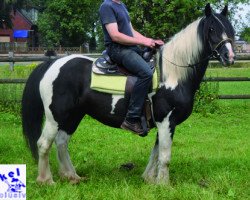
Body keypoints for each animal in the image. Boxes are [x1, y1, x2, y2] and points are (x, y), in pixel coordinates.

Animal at [22, 3, 235, 184]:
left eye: (231, 28)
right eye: (212, 29)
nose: (230, 57)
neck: (172, 75)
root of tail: (52, 63)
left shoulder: (164, 123)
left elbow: (156, 153)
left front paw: (150, 179)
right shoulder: (166, 120)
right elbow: (165, 156)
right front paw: (164, 185)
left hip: (74, 115)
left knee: (61, 141)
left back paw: (71, 176)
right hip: (55, 116)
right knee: (43, 144)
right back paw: (46, 181)